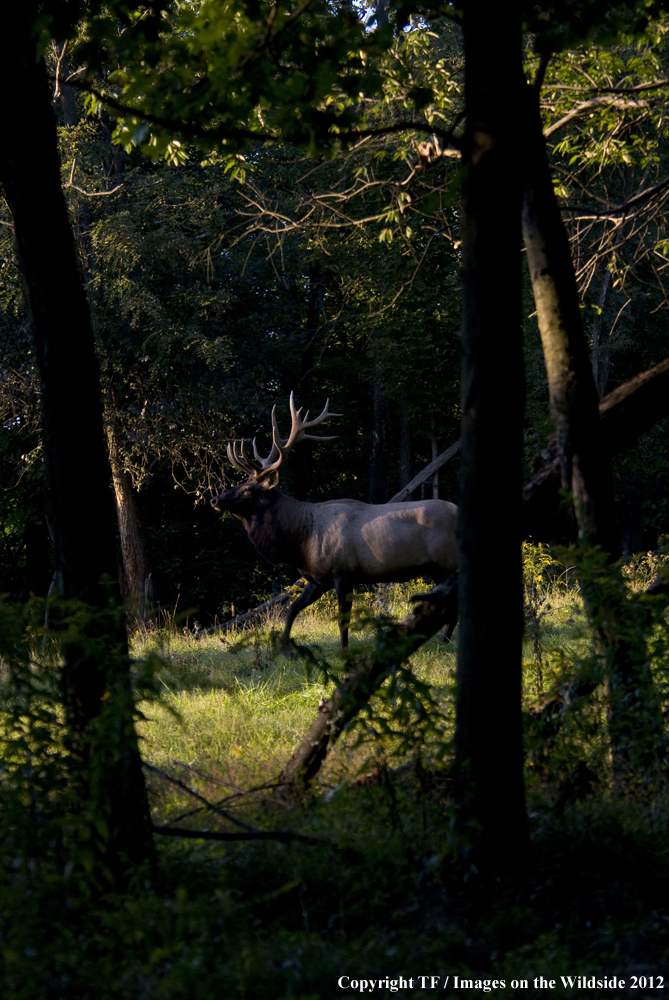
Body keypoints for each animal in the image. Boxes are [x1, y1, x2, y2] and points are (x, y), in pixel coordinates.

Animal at [211, 394, 456, 652]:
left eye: (248, 489)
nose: (214, 499)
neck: (300, 541)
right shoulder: (318, 579)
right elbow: (291, 609)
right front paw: (283, 648)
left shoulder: (343, 572)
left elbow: (342, 619)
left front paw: (343, 650)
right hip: (437, 568)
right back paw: (444, 640)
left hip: (448, 561)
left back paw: (445, 640)